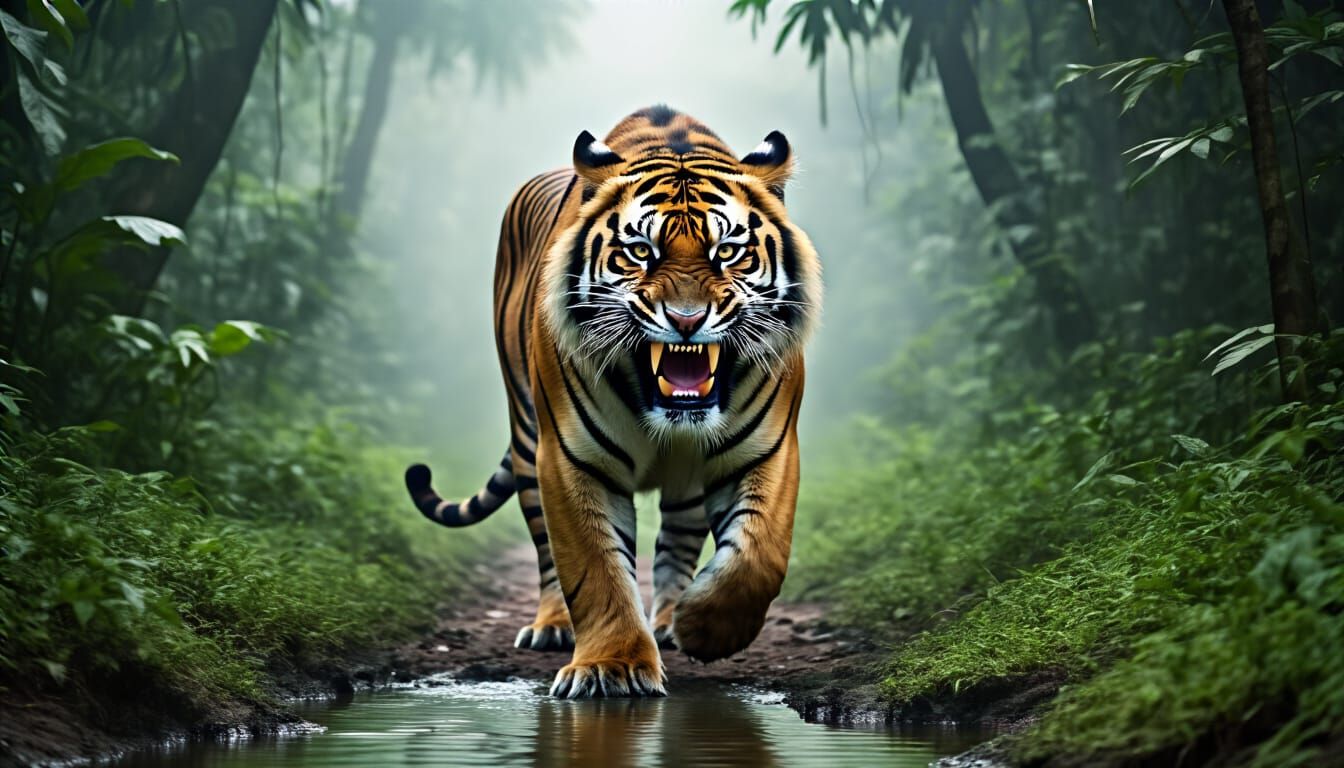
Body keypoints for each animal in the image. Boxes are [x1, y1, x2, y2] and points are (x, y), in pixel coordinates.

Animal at [405, 105, 821, 698]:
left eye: (727, 252)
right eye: (640, 251)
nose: (687, 319)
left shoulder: (767, 448)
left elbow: (757, 557)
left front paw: (704, 628)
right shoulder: (571, 458)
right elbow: (594, 569)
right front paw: (612, 667)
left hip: (687, 480)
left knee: (676, 543)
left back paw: (669, 621)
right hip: (528, 440)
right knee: (546, 551)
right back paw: (553, 626)